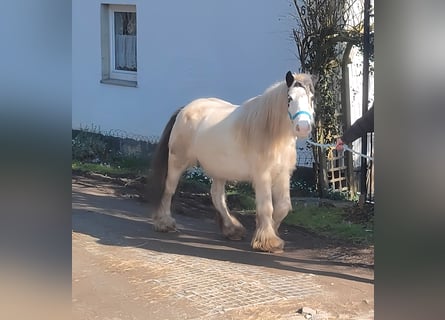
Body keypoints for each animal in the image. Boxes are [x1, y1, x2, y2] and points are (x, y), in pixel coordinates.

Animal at [147, 72, 318, 252]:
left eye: (312, 98)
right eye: (290, 98)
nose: (303, 127)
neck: (270, 132)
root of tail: (184, 109)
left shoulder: (283, 175)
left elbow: (283, 207)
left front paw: (267, 232)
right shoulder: (262, 176)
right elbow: (266, 207)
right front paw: (268, 241)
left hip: (218, 170)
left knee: (217, 196)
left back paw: (232, 229)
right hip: (177, 162)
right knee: (169, 190)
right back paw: (164, 223)